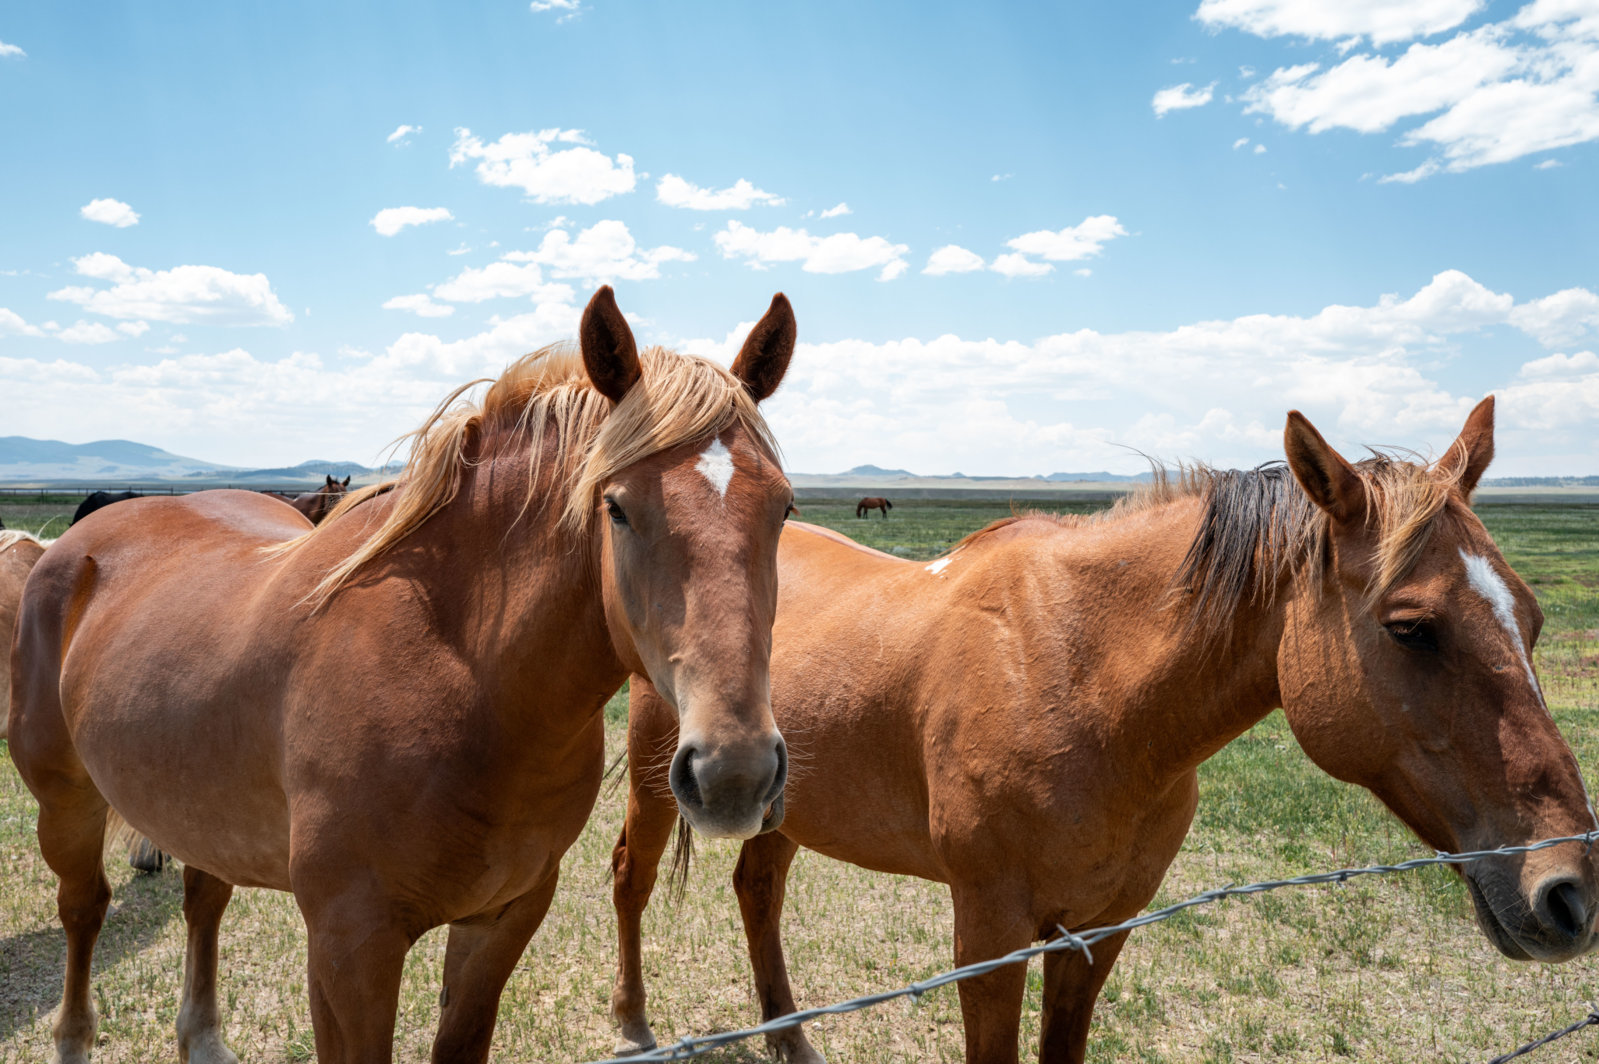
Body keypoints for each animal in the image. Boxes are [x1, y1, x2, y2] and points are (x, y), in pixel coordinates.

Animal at [12, 286, 805, 1062]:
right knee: (83, 909)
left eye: (785, 506)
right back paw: (73, 1040)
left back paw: (203, 1040)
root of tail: (74, 545)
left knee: (203, 896)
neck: (467, 681)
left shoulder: (502, 920)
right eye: (616, 507)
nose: (734, 773)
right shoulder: (349, 947)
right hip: (67, 805)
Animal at [604, 398, 1592, 1062]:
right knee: (630, 879)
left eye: (1533, 618)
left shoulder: (1099, 931)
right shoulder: (988, 938)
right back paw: (634, 1026)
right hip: (665, 780)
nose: (1569, 892)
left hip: (786, 802)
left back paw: (789, 1036)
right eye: (1410, 627)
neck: (1077, 679)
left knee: (757, 890)